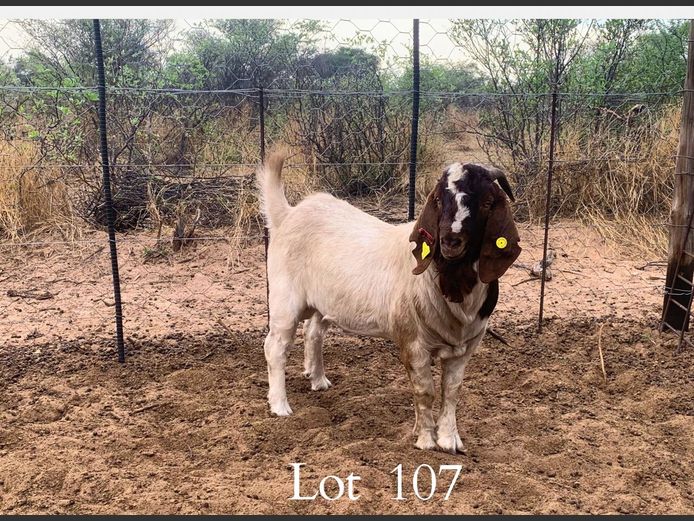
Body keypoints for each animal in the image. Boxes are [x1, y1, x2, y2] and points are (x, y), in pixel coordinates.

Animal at [257, 152, 521, 453]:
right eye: (439, 200)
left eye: (488, 202)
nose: (450, 241)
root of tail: (288, 214)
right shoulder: (413, 342)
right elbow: (425, 391)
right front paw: (426, 440)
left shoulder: (465, 347)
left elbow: (452, 391)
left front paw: (449, 440)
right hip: (284, 299)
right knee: (275, 347)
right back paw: (280, 405)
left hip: (322, 302)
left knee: (313, 332)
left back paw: (318, 379)